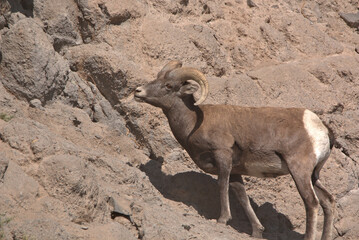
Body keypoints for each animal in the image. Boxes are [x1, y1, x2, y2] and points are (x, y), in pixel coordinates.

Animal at [134, 61, 336, 240]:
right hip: (313, 176)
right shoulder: (236, 171)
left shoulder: (222, 156)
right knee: (328, 201)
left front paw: (222, 219)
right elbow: (242, 197)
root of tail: (320, 128)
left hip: (299, 170)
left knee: (311, 202)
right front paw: (257, 231)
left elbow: (222, 186)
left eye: (168, 85)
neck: (193, 123)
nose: (138, 91)